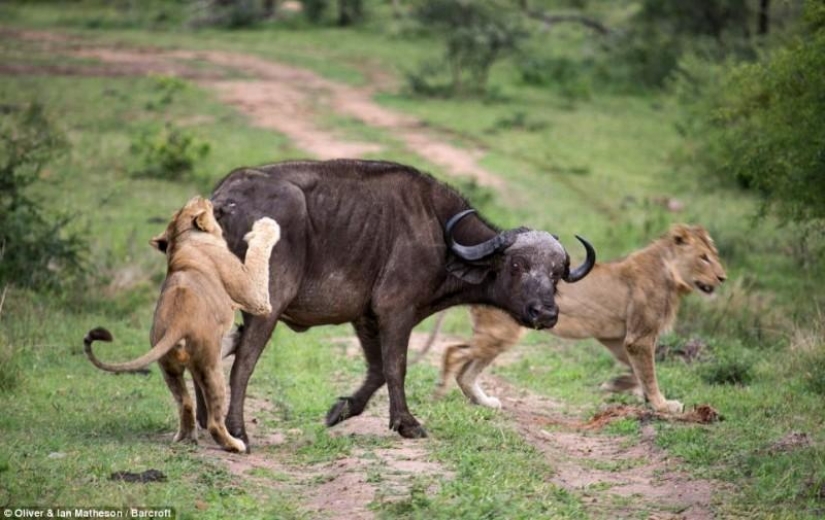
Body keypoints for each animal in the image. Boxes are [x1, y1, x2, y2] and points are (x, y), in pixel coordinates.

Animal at [208, 159, 595, 446]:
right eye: (516, 265)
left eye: (557, 274)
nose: (545, 313)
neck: (440, 234)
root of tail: (223, 200)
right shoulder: (396, 311)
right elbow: (397, 367)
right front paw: (407, 423)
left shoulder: (365, 318)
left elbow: (377, 370)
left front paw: (341, 409)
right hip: (266, 306)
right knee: (243, 362)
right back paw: (237, 432)